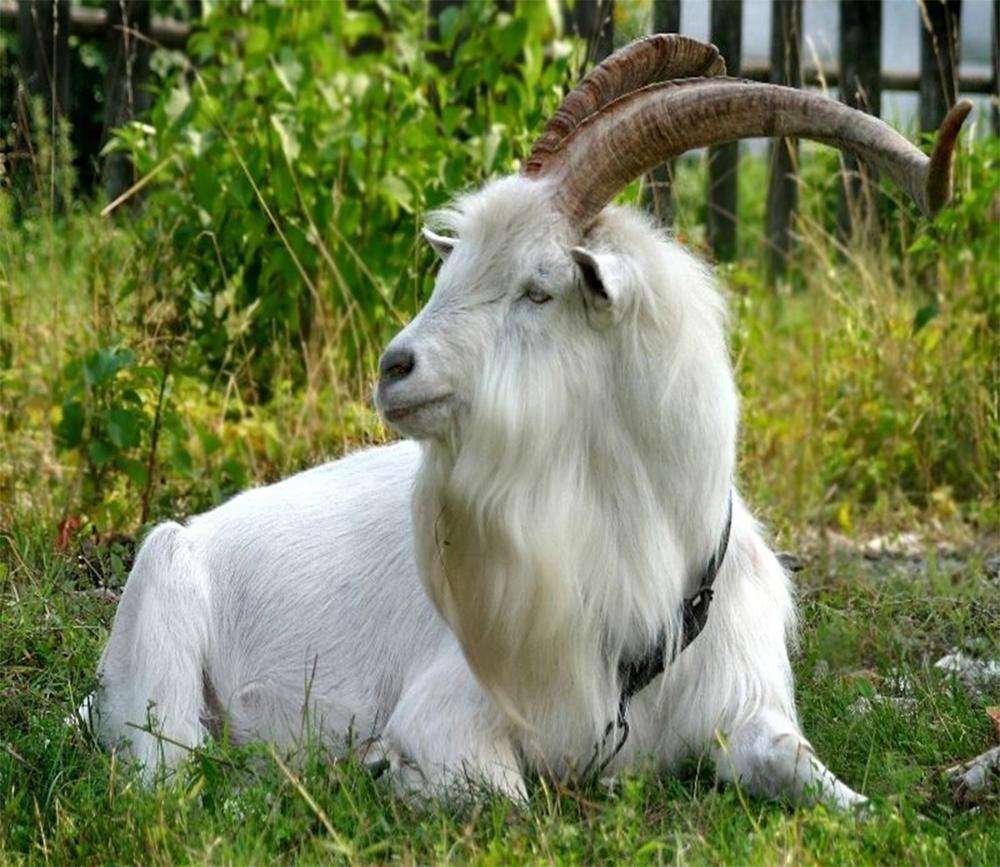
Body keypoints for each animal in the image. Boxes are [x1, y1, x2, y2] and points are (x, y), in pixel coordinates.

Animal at [87, 36, 971, 808]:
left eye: (539, 288)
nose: (394, 368)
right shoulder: (453, 712)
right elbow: (505, 799)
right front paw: (380, 767)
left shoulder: (744, 704)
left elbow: (809, 773)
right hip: (162, 623)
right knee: (169, 777)